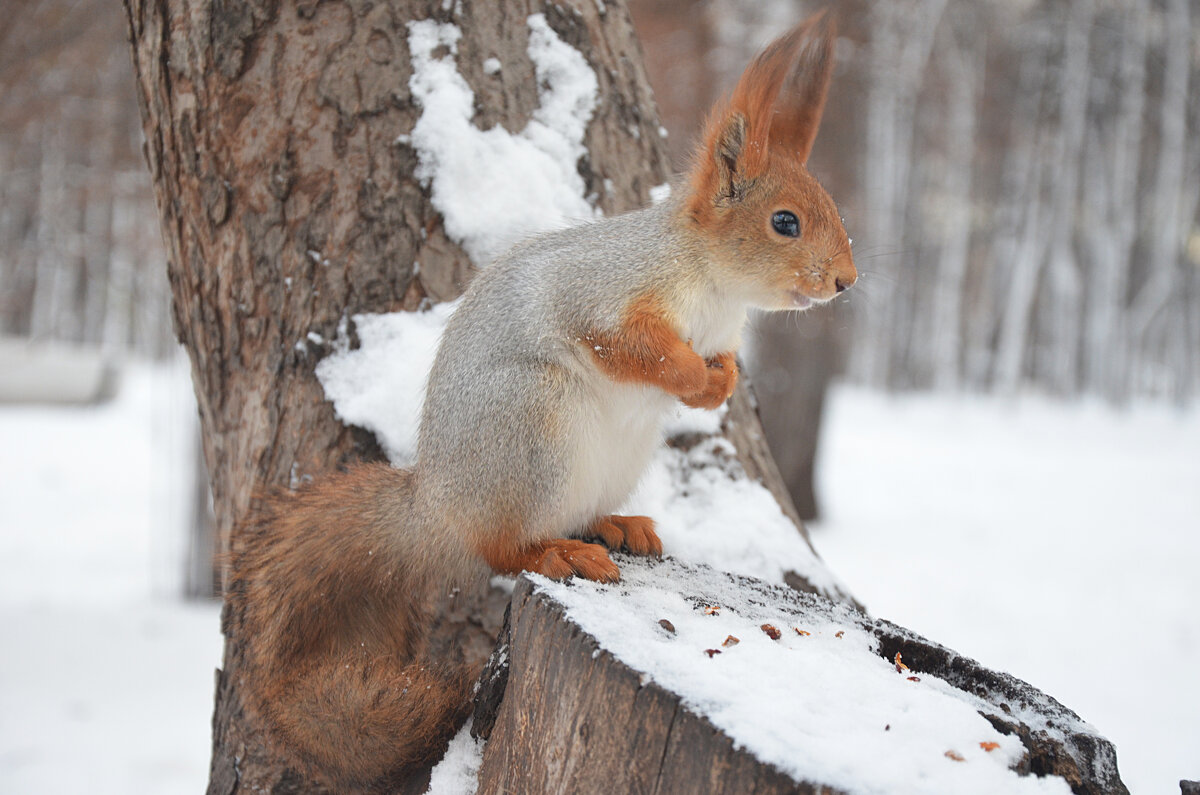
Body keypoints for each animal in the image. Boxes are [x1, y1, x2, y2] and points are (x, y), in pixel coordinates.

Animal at [231, 10, 854, 792]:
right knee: (502, 548)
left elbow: (723, 367)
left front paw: (721, 381)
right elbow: (637, 349)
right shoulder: (604, 299)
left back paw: (616, 526)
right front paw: (692, 377)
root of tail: (438, 505)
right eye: (785, 222)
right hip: (533, 426)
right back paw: (560, 552)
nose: (847, 280)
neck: (715, 289)